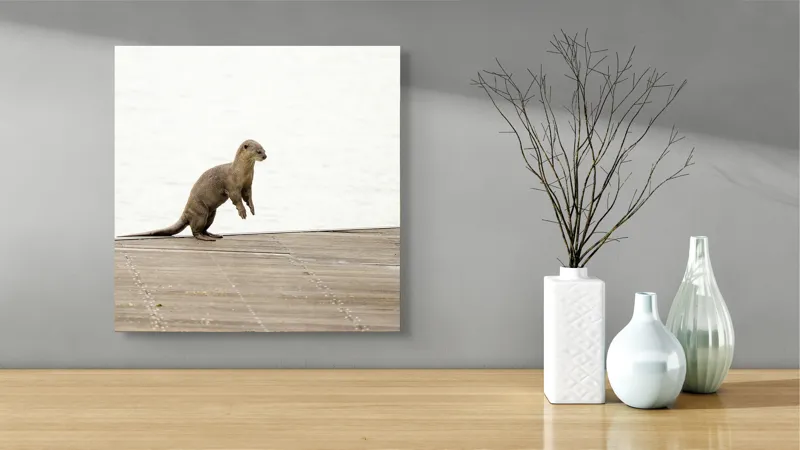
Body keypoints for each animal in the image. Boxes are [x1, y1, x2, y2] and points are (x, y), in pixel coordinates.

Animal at [120, 139, 267, 241]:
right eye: (258, 151)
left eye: (264, 149)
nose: (265, 156)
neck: (240, 172)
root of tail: (186, 212)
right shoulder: (232, 186)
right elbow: (236, 199)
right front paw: (242, 212)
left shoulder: (248, 185)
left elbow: (248, 196)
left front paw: (252, 208)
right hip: (200, 212)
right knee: (195, 231)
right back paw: (206, 238)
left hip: (211, 214)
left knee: (203, 228)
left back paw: (213, 234)